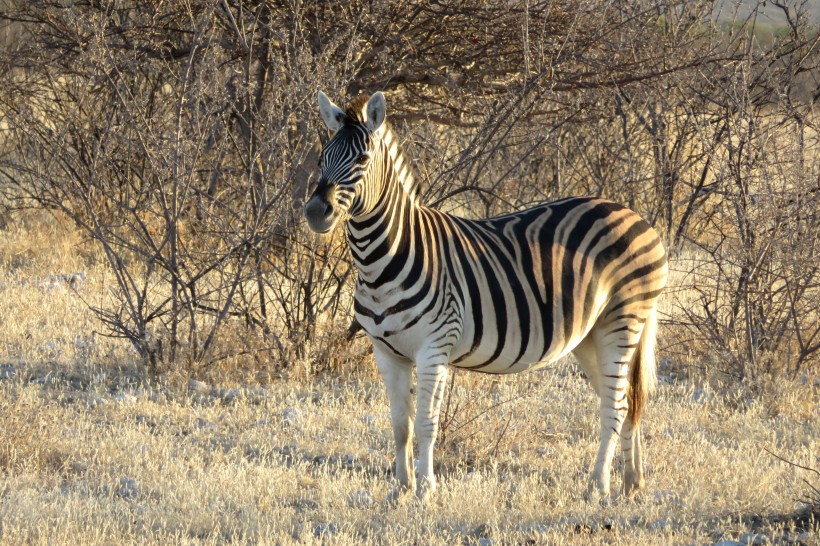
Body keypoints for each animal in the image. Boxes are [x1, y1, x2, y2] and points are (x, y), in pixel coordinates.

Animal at [302, 90, 668, 502]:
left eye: (363, 159)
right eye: (322, 157)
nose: (315, 212)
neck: (382, 260)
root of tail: (634, 215)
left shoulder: (434, 348)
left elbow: (426, 422)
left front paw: (425, 490)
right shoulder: (387, 352)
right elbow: (400, 425)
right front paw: (400, 489)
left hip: (621, 321)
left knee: (617, 406)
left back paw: (598, 486)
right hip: (590, 336)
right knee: (621, 399)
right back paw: (631, 483)